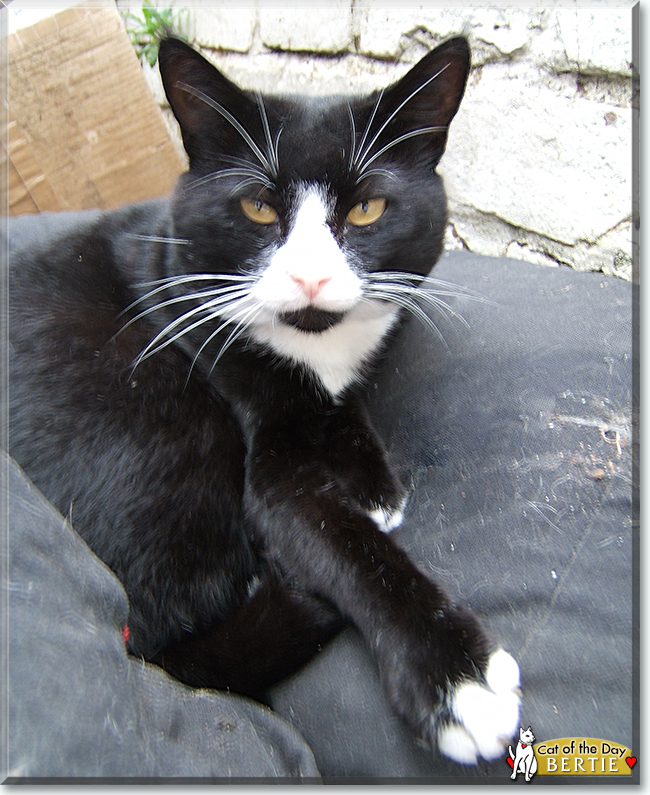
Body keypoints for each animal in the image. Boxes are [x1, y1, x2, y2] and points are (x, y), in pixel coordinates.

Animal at [7, 32, 520, 764]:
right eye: (257, 207)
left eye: (367, 208)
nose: (310, 276)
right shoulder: (252, 426)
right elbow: (332, 537)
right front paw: (455, 675)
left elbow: (345, 398)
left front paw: (372, 481)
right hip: (155, 413)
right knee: (170, 638)